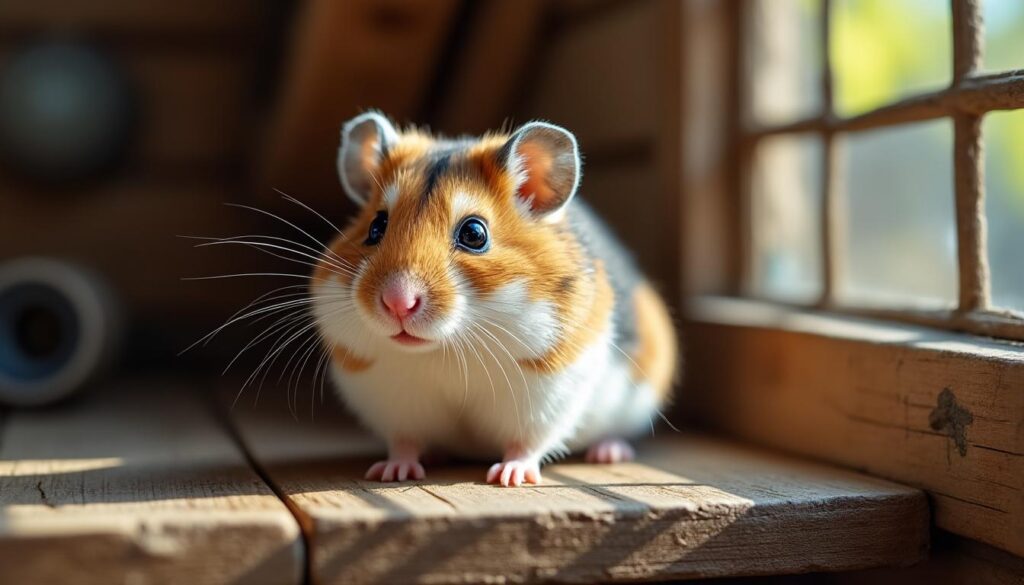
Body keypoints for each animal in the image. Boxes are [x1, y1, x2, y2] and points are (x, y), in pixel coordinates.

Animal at [312, 112, 678, 487]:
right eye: (376, 227)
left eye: (474, 234)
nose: (397, 302)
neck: (446, 350)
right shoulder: (390, 399)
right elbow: (404, 442)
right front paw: (390, 473)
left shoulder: (547, 395)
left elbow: (526, 443)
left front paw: (509, 478)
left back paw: (607, 452)